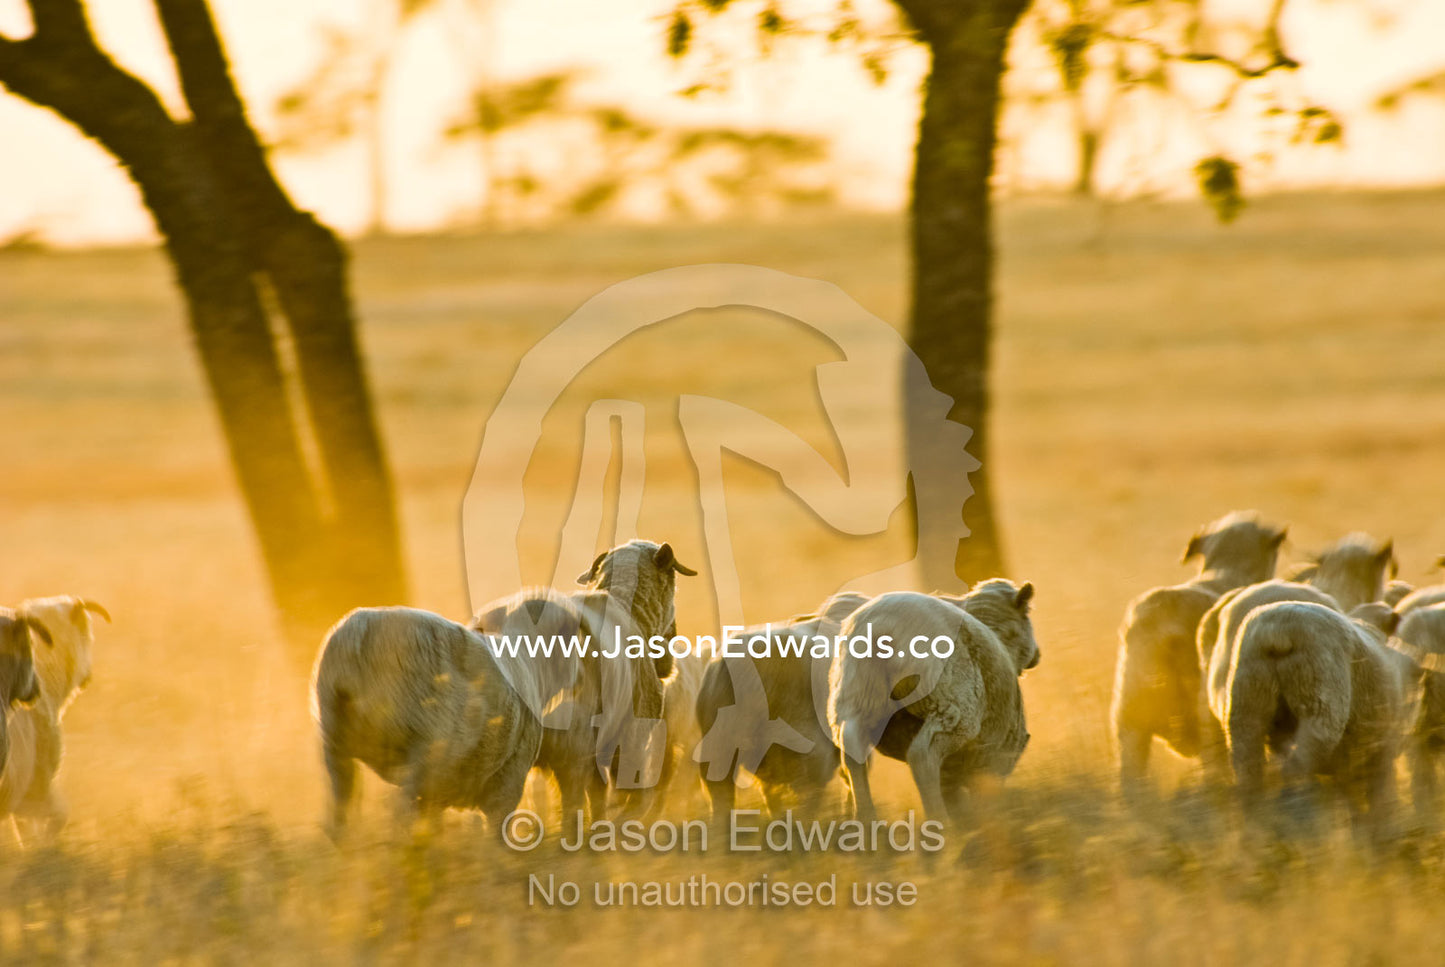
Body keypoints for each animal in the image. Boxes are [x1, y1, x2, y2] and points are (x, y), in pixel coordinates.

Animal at [312, 597, 598, 841]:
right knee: (398, 810)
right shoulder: (510, 774)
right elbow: (497, 832)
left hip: (335, 741)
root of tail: (360, 634)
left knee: (341, 809)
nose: (583, 678)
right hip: (419, 748)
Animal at [829, 580, 1038, 826]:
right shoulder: (995, 757)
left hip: (856, 695)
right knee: (921, 754)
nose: (1037, 655)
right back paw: (940, 822)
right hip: (952, 705)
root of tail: (882, 623)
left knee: (852, 749)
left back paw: (865, 820)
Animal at [1111, 512, 1286, 799]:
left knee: (1131, 781)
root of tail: (1162, 620)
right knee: (1214, 775)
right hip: (1208, 723)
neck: (1227, 571)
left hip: (1130, 719)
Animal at [1223, 600, 1410, 843]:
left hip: (1248, 694)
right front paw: (1380, 835)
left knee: (1249, 769)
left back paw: (1259, 830)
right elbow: (1377, 795)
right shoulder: (1383, 745)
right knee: (1297, 766)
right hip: (1321, 690)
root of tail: (1278, 631)